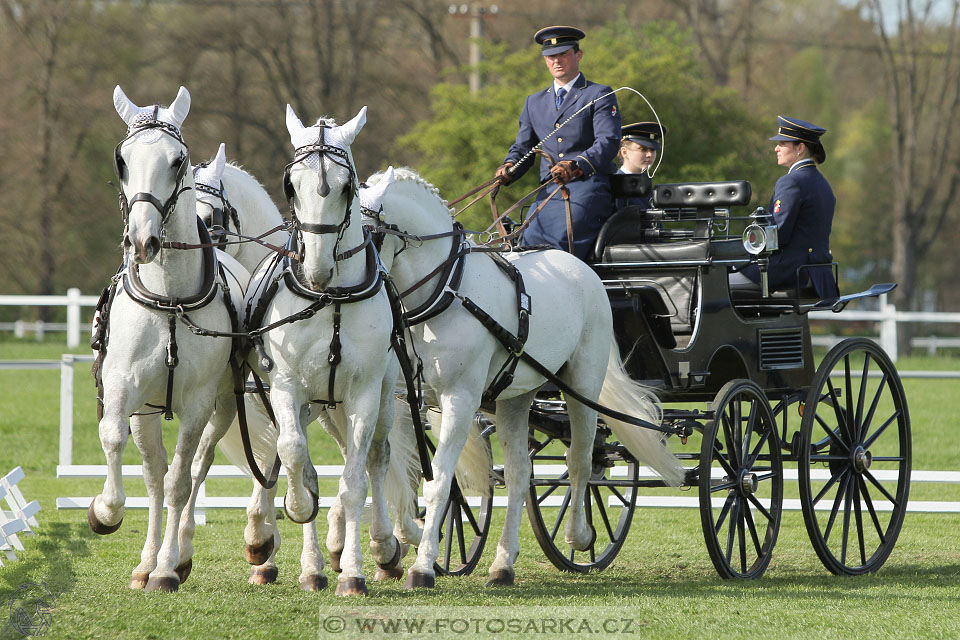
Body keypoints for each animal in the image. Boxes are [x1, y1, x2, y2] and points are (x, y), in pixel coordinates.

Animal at [89, 87, 251, 592]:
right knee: (153, 473)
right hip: (147, 409)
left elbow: (182, 478)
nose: (143, 242)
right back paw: (146, 560)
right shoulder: (124, 388)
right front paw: (104, 512)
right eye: (122, 159)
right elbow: (114, 442)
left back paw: (175, 557)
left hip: (222, 407)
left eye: (177, 160)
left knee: (194, 469)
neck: (170, 299)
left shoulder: (198, 402)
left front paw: (166, 569)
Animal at [244, 104, 404, 596]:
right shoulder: (285, 386)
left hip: (364, 402)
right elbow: (295, 454)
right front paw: (297, 508)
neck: (329, 297)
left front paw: (352, 571)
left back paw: (379, 547)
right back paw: (300, 558)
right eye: (291, 185)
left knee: (375, 458)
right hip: (302, 401)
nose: (316, 268)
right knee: (282, 453)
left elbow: (353, 481)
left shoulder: (363, 394)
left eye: (347, 185)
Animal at [364, 168, 688, 588]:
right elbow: (392, 468)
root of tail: (584, 270)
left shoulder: (460, 399)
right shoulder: (406, 399)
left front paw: (421, 565)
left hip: (582, 386)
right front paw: (396, 545)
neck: (445, 291)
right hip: (514, 398)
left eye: (366, 233)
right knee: (521, 474)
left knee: (581, 459)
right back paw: (503, 564)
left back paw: (579, 535)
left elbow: (440, 480)